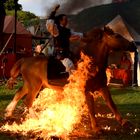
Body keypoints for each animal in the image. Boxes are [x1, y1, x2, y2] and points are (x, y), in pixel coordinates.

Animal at [4, 26, 136, 133]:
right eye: (117, 36)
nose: (133, 45)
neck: (92, 63)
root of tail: (24, 60)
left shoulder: (103, 87)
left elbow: (112, 104)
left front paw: (124, 122)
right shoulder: (87, 91)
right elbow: (91, 108)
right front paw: (96, 127)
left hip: (32, 85)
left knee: (18, 94)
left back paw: (8, 113)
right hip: (34, 86)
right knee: (28, 101)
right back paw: (36, 118)